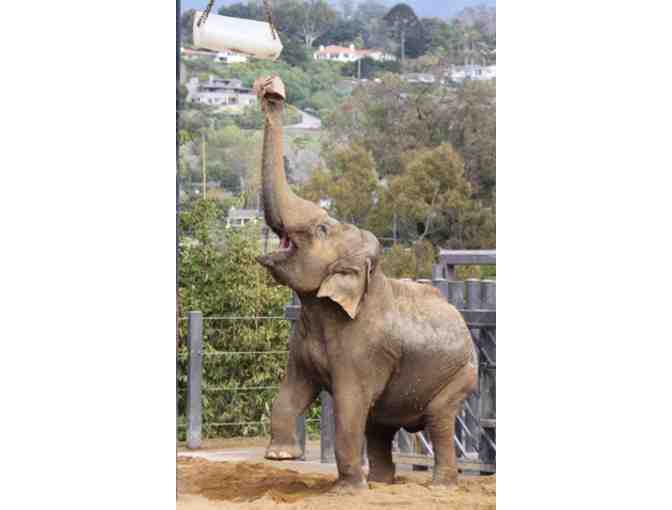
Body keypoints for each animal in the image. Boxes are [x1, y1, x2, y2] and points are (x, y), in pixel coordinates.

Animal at [252, 74, 478, 490]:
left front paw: (346, 490)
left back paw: (438, 485)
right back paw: (384, 484)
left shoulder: (366, 348)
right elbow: (292, 390)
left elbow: (349, 405)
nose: (271, 89)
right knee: (380, 425)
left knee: (438, 421)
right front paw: (280, 457)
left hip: (460, 375)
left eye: (323, 229)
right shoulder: (302, 340)